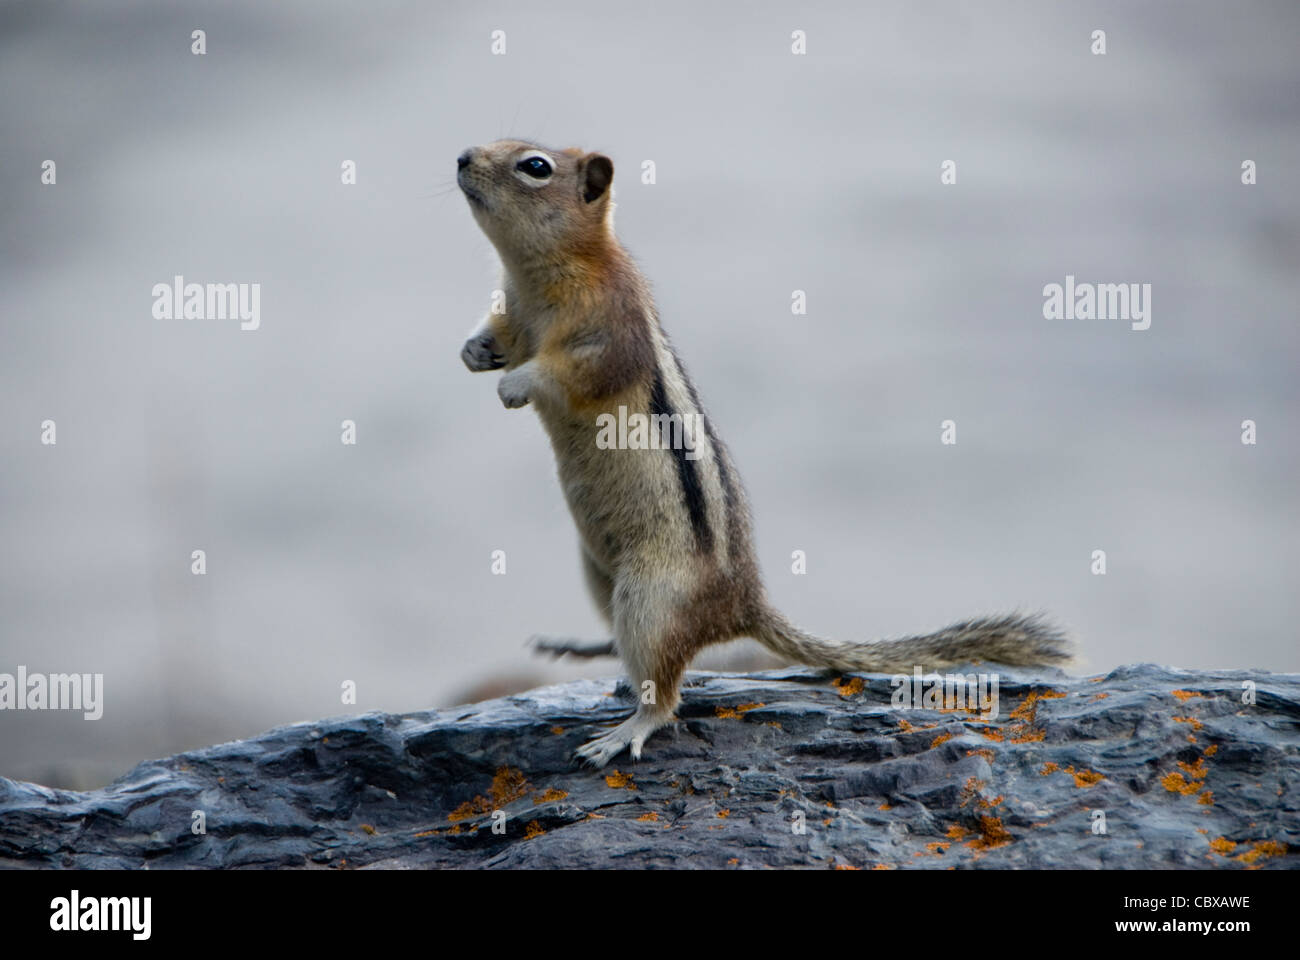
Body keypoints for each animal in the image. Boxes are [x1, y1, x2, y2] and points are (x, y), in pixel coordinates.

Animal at [456, 139, 1072, 767]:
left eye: (535, 166)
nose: (461, 157)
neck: (539, 277)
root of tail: (743, 604)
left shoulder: (607, 332)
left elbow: (568, 373)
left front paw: (516, 384)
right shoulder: (515, 313)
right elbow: (503, 338)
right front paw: (476, 351)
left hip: (654, 598)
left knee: (665, 688)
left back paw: (624, 731)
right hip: (598, 570)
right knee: (632, 644)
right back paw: (583, 646)